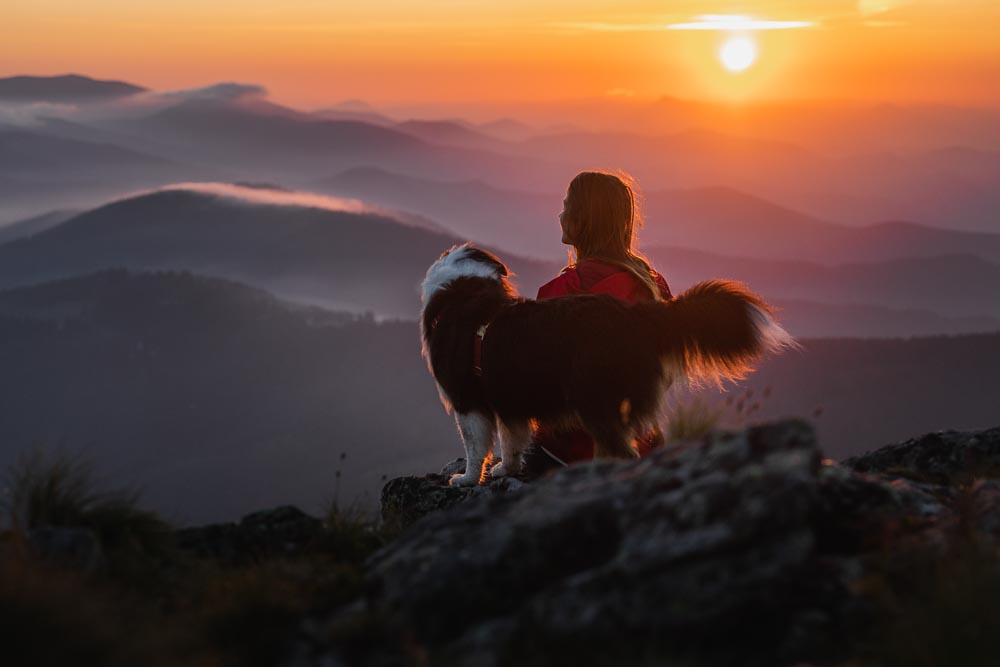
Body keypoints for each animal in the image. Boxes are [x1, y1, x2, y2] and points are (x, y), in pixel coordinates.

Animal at [420, 244, 796, 486]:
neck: (462, 290)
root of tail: (636, 316)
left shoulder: (466, 400)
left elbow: (474, 446)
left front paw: (467, 478)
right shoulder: (509, 400)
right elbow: (512, 440)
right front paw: (506, 470)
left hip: (595, 399)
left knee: (622, 451)